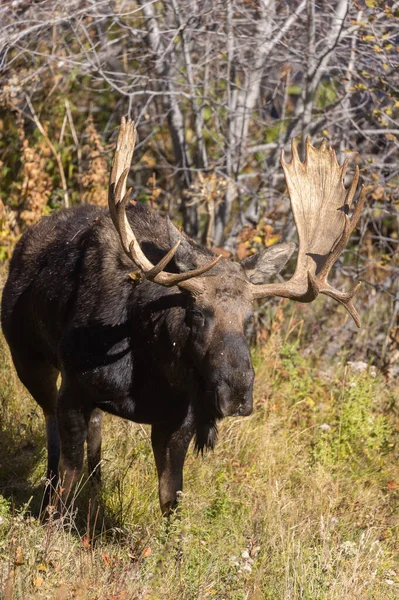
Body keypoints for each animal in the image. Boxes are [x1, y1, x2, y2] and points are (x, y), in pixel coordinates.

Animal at [0, 118, 368, 516]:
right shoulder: (73, 390)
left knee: (95, 429)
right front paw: (52, 517)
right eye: (196, 313)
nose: (238, 391)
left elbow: (170, 498)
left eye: (248, 318)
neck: (148, 365)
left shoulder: (178, 420)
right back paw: (50, 488)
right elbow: (67, 477)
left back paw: (95, 487)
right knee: (50, 421)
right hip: (28, 360)